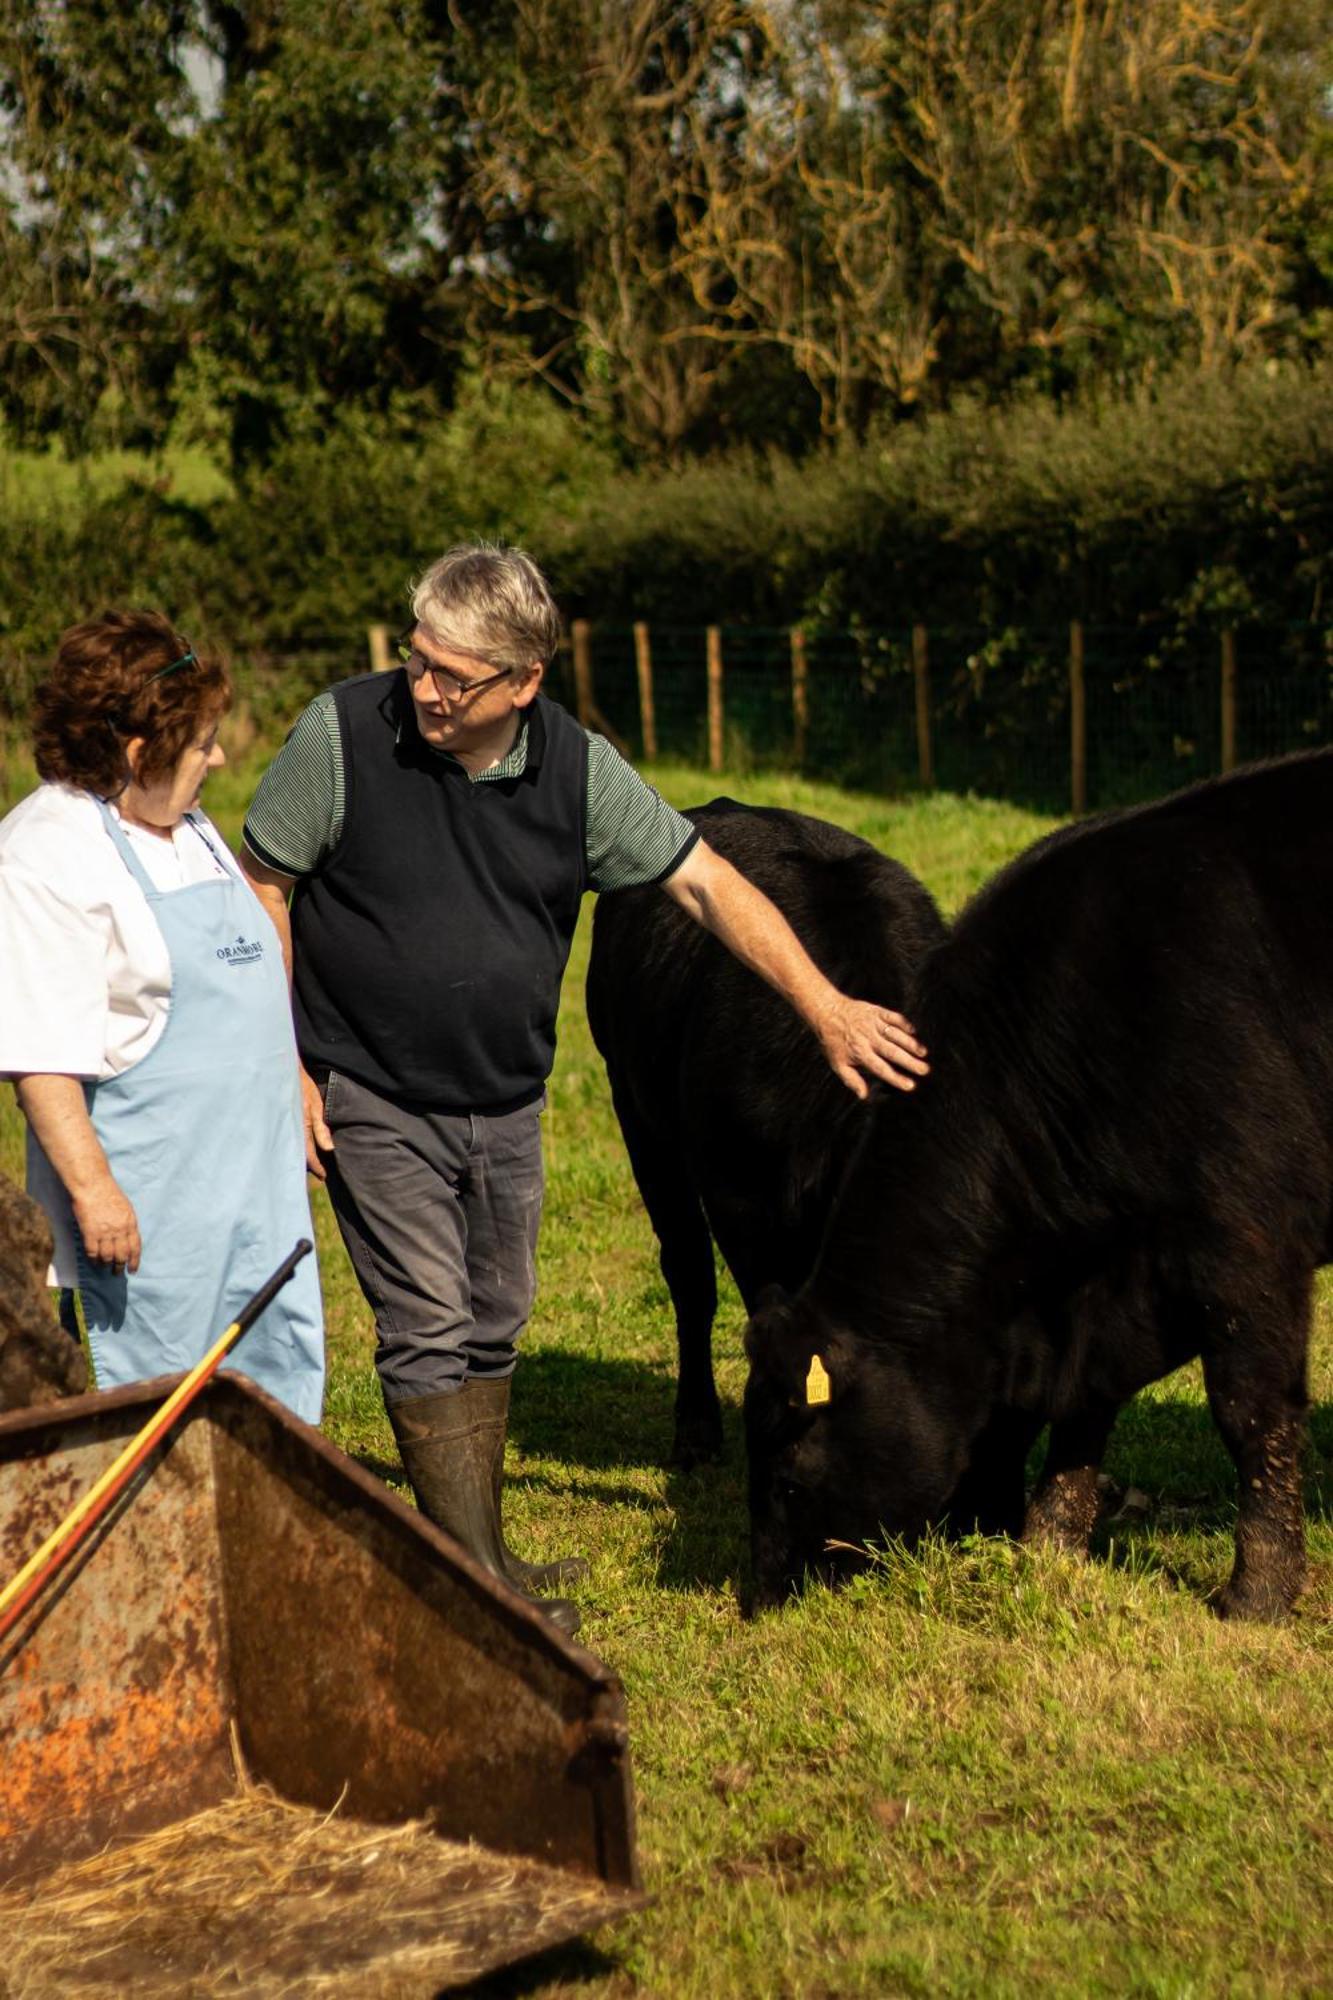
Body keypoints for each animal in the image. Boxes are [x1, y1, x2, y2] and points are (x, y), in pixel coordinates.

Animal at [740, 752, 1328, 1624]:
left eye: (786, 1472)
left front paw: (1256, 1593)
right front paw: (1046, 1546)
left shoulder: (1247, 1240)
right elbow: (1084, 1408)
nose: (756, 1590)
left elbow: (1251, 1412)